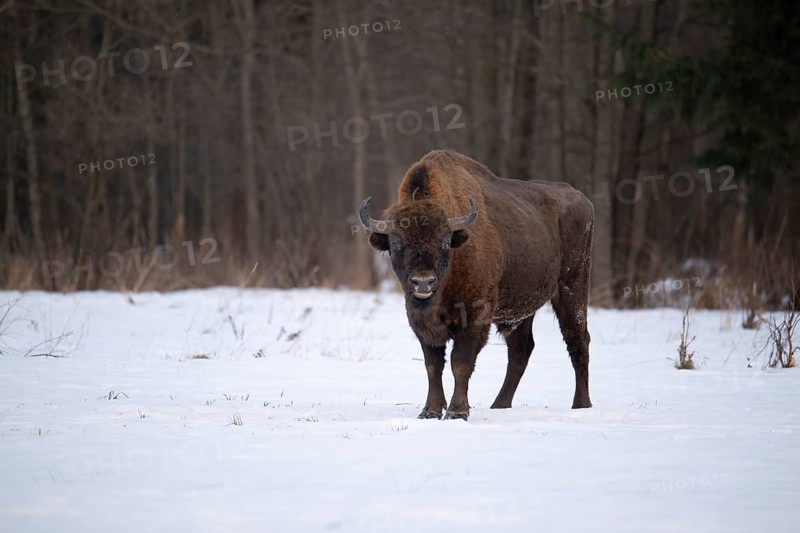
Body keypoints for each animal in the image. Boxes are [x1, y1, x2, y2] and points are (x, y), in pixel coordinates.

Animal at [358, 150, 594, 421]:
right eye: (396, 244)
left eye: (444, 242)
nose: (423, 282)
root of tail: (582, 200)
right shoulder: (421, 322)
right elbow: (432, 365)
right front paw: (430, 411)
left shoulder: (474, 317)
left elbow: (460, 362)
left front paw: (457, 411)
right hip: (521, 310)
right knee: (521, 349)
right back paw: (500, 404)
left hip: (572, 289)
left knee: (577, 340)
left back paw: (581, 404)